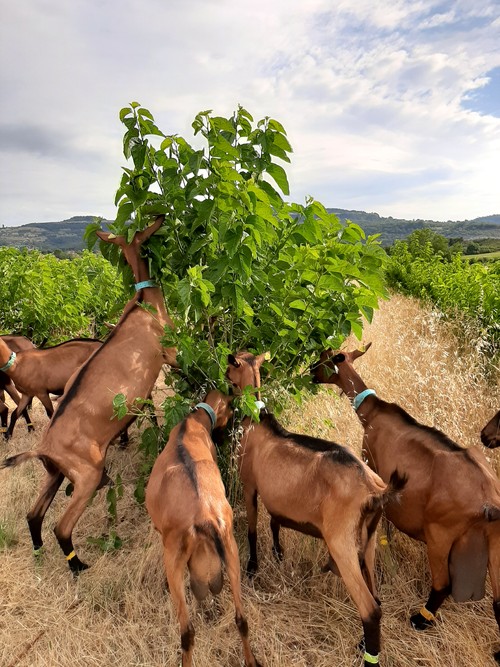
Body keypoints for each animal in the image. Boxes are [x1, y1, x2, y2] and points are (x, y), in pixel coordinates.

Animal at [0, 218, 178, 576]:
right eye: (144, 235)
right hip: (86, 476)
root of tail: (44, 447)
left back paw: (39, 553)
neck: (144, 302)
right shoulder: (172, 351)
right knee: (61, 526)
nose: (161, 219)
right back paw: (78, 566)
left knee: (33, 514)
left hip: (55, 473)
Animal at [146, 388, 262, 667]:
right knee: (241, 619)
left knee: (187, 633)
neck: (192, 424)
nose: (224, 435)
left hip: (175, 562)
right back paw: (251, 659)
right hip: (230, 552)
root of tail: (205, 519)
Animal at [229, 352, 408, 664]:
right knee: (377, 597)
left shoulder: (250, 485)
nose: (226, 381)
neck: (258, 419)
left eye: (231, 363)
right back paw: (363, 645)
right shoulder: (278, 500)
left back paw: (368, 657)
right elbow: (275, 521)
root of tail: (375, 490)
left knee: (370, 608)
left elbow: (252, 529)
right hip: (369, 539)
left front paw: (252, 568)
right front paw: (278, 554)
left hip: (341, 542)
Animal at [310, 344, 500, 664]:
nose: (310, 373)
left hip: (439, 534)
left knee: (442, 584)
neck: (372, 410)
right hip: (496, 542)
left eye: (325, 359)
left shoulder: (371, 463)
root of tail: (489, 502)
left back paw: (420, 619)